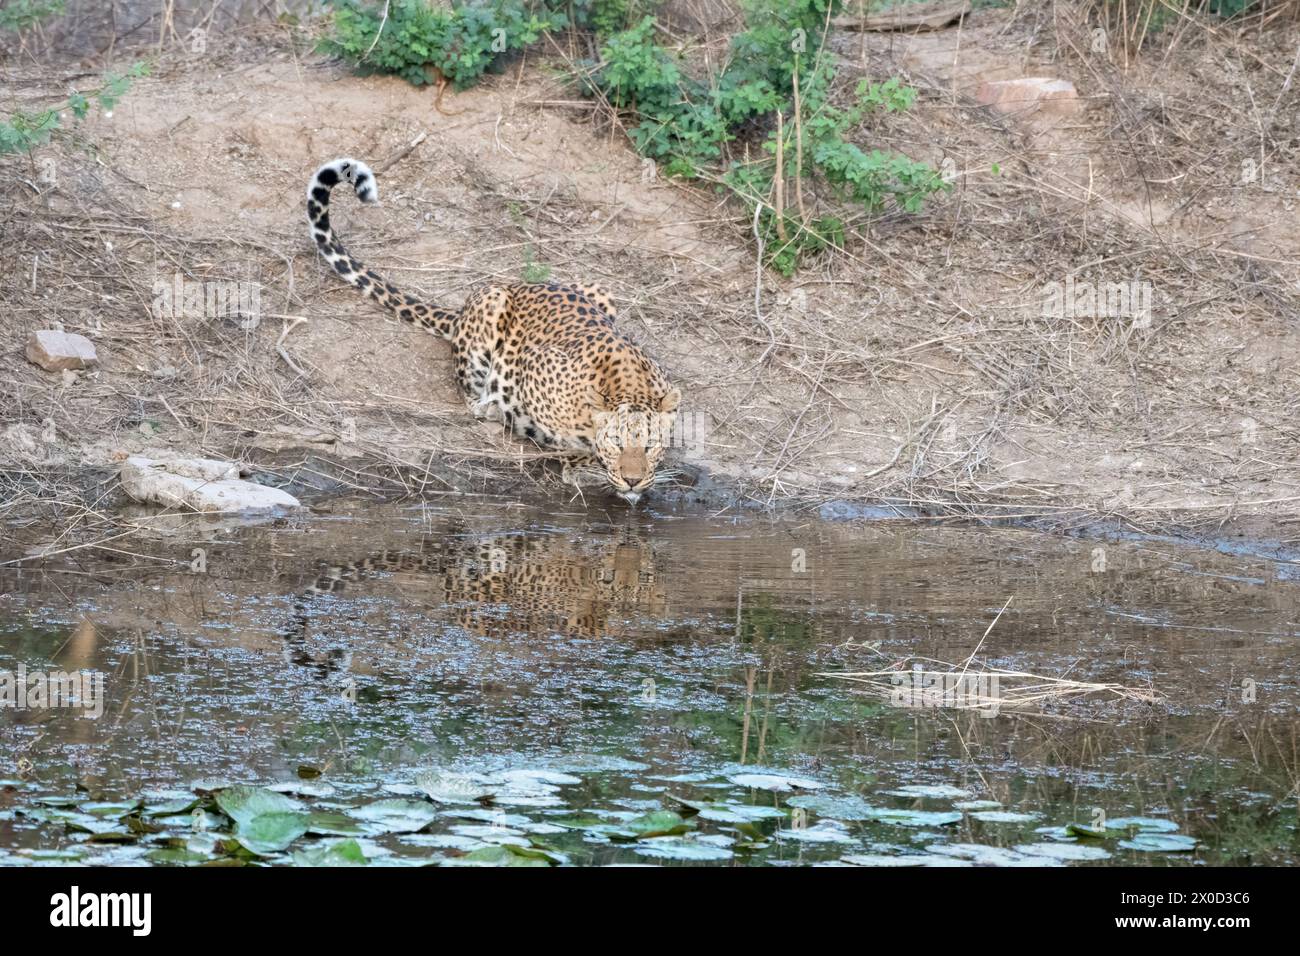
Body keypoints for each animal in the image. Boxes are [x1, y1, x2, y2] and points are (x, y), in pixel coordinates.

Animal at [310, 157, 686, 509]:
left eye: (650, 446)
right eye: (617, 444)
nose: (633, 480)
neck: (627, 383)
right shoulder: (537, 368)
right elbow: (569, 439)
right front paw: (582, 463)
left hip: (602, 291)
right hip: (491, 304)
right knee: (470, 393)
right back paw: (491, 409)